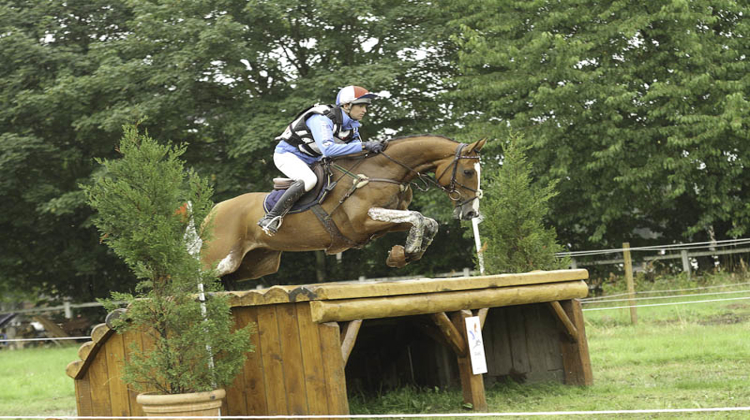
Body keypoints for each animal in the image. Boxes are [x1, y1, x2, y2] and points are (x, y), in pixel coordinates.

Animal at [201, 136, 488, 284]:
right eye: (467, 171)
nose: (471, 213)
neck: (384, 171)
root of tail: (212, 212)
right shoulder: (362, 223)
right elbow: (418, 217)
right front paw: (405, 253)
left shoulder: (382, 223)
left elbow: (427, 222)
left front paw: (405, 254)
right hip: (219, 261)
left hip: (253, 265)